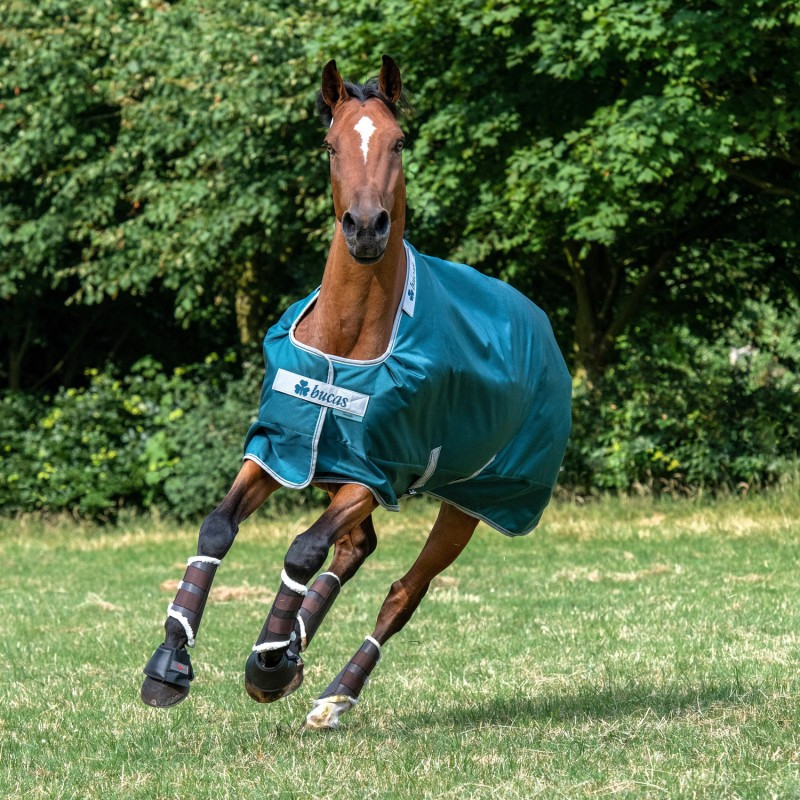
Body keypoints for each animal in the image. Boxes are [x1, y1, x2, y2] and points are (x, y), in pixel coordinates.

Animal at [141, 56, 572, 730]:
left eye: (399, 141)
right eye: (330, 144)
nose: (366, 228)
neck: (345, 341)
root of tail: (542, 325)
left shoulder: (377, 475)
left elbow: (303, 549)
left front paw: (268, 662)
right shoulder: (281, 447)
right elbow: (217, 528)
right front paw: (170, 663)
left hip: (473, 500)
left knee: (402, 592)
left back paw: (328, 693)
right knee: (357, 548)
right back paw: (295, 651)